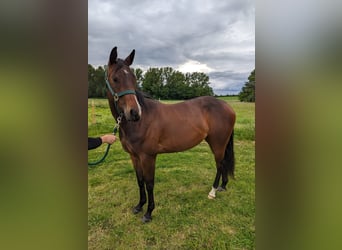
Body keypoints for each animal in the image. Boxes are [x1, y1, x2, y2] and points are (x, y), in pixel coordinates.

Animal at [105, 47, 236, 223]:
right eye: (115, 79)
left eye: (133, 78)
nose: (134, 113)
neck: (140, 122)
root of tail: (227, 106)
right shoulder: (134, 156)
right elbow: (140, 181)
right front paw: (139, 206)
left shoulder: (148, 157)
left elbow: (149, 183)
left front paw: (148, 213)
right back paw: (223, 186)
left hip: (218, 144)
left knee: (220, 165)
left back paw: (212, 192)